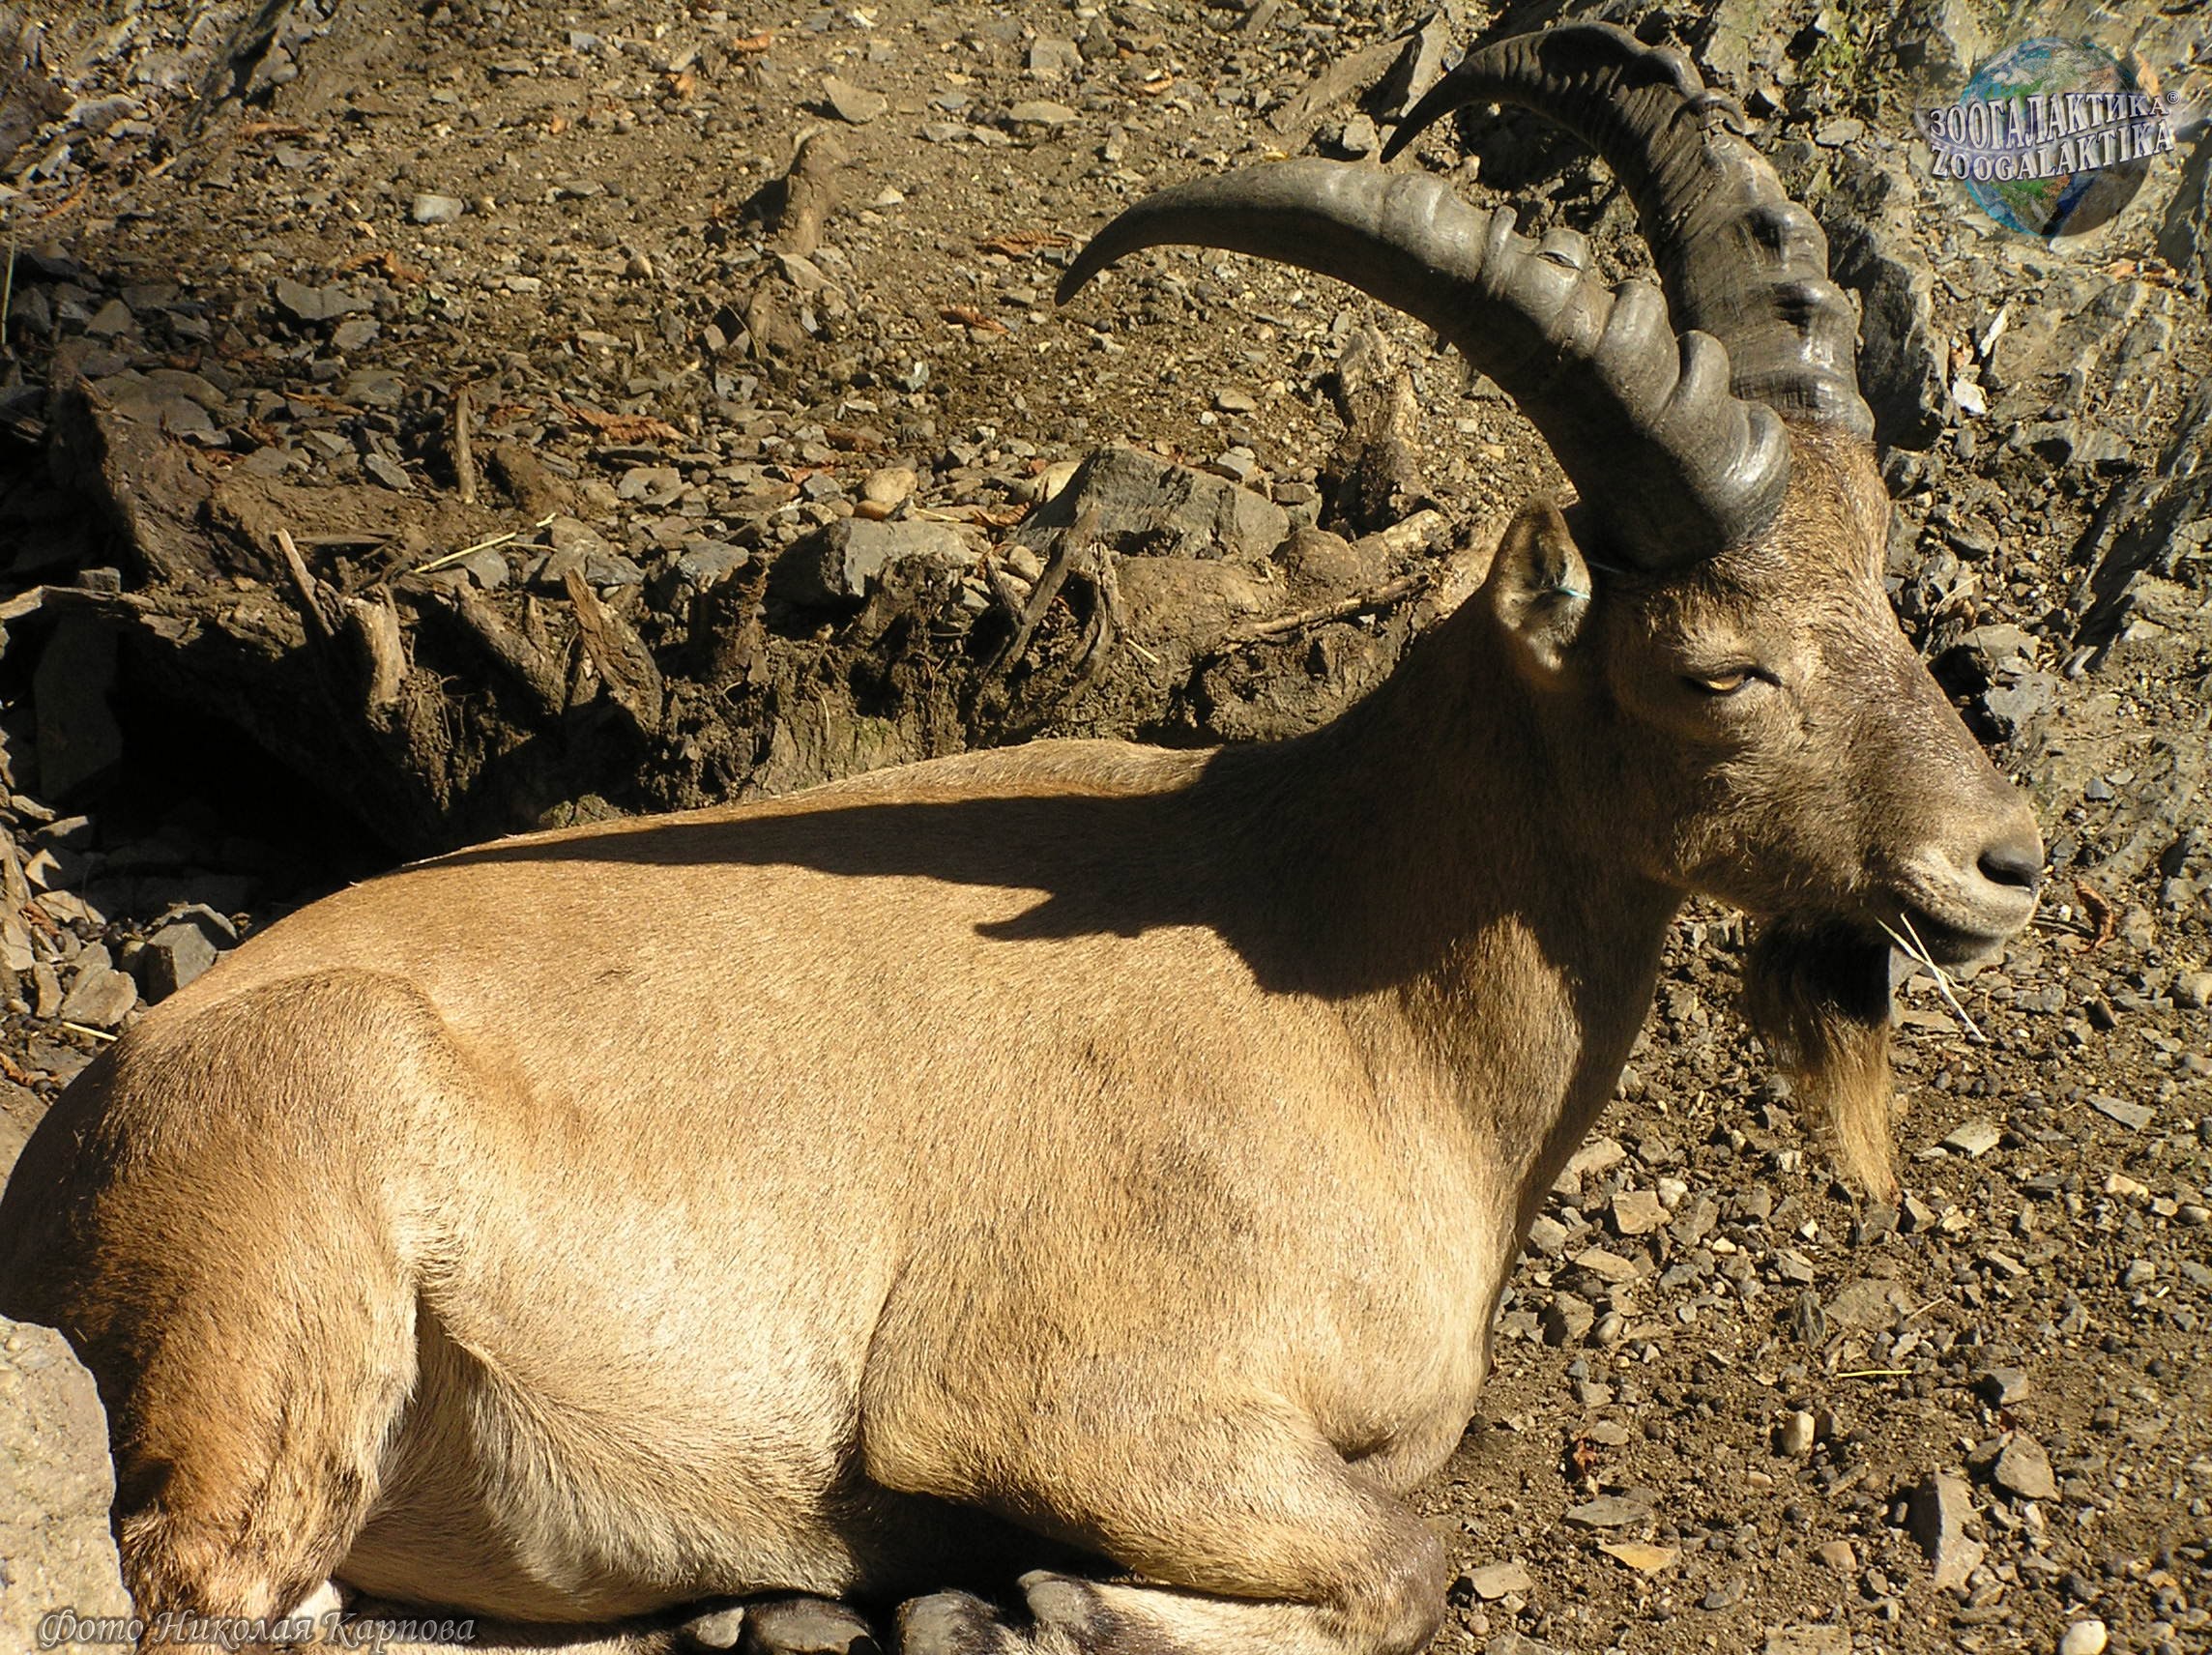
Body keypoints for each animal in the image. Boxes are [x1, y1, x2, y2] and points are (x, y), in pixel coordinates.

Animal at [0, 25, 2034, 1654]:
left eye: (1882, 577)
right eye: (1714, 667)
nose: (1999, 862)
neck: (1351, 996)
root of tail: (58, 1169)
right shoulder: (1048, 1399)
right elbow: (1401, 1559)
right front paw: (1021, 1603)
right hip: (283, 1295)